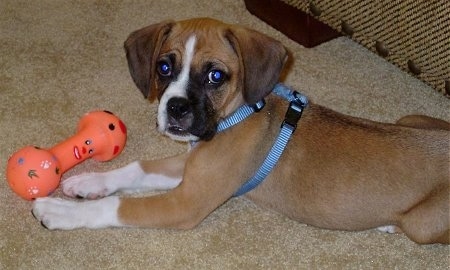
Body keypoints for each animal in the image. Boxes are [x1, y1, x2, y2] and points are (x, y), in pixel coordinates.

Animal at [29, 17, 448, 245]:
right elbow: (137, 168)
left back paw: (388, 224)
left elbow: (116, 206)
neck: (240, 113)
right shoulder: (192, 166)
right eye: (164, 67)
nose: (176, 108)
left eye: (215, 76)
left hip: (424, 224)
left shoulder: (187, 203)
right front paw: (86, 183)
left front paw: (58, 210)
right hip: (411, 118)